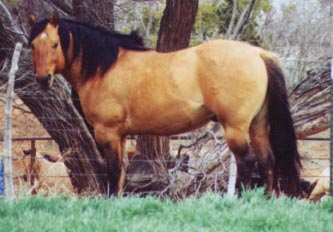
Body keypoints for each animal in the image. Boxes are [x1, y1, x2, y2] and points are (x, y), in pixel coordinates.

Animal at [27, 12, 300, 197]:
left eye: (55, 44)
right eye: (32, 45)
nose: (42, 79)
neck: (104, 67)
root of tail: (258, 54)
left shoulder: (108, 132)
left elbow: (113, 171)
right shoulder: (121, 136)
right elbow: (120, 173)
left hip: (235, 128)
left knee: (247, 163)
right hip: (257, 126)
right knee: (267, 162)